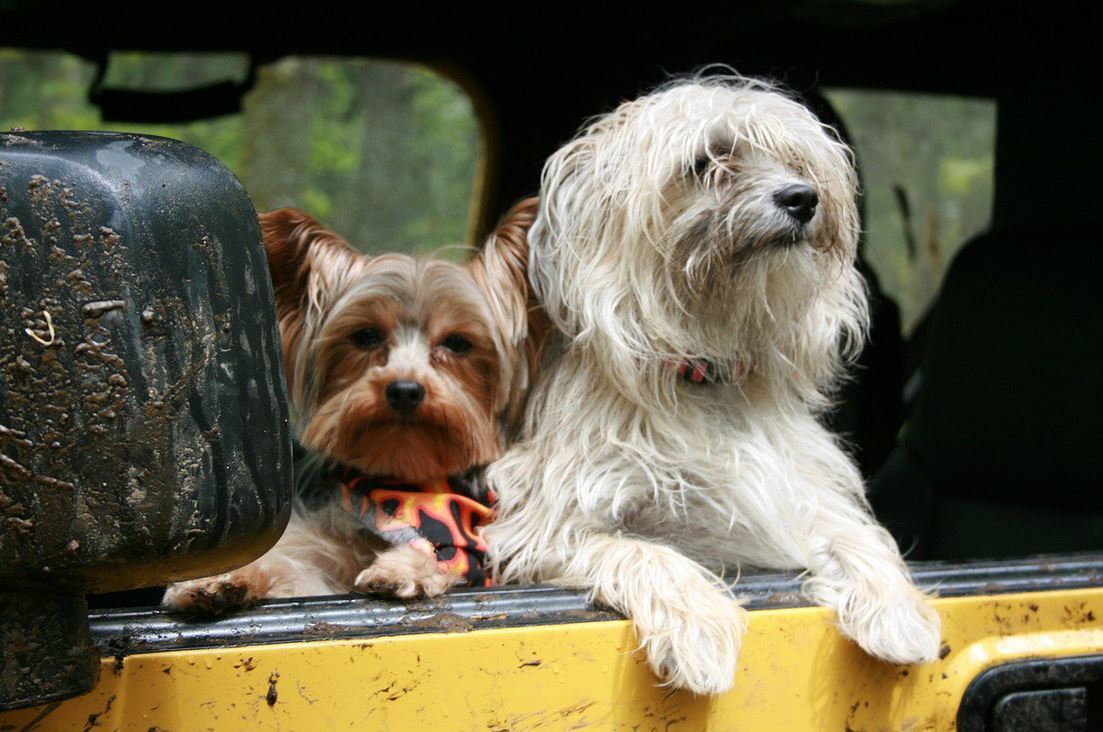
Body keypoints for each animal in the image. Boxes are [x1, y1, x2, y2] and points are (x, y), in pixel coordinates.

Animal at [487, 77, 944, 696]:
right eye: (707, 162)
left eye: (797, 161)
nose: (803, 198)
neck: (710, 371)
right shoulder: (544, 525)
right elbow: (646, 551)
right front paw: (698, 625)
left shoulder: (792, 496)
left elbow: (853, 533)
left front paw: (898, 609)